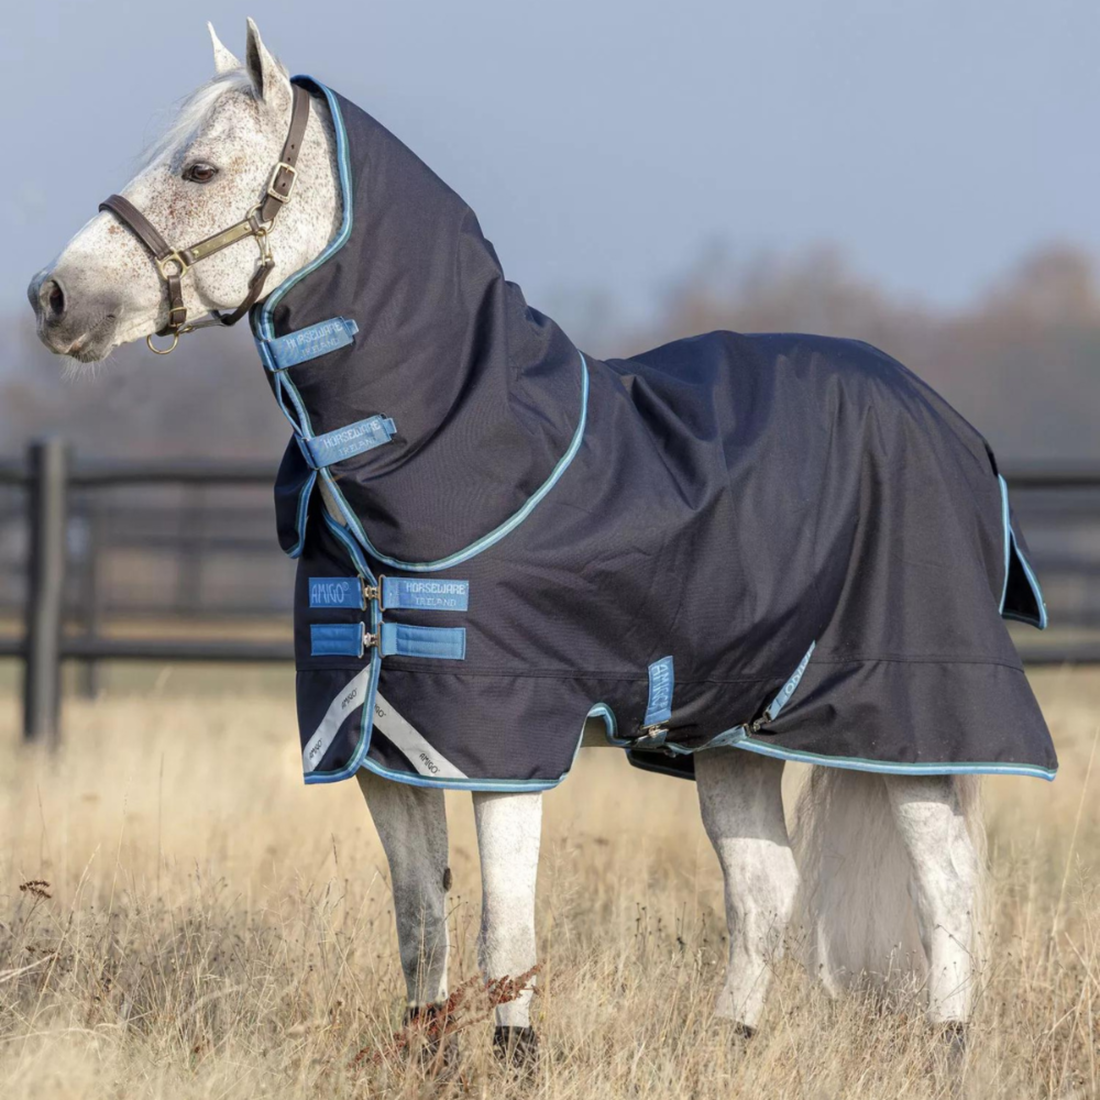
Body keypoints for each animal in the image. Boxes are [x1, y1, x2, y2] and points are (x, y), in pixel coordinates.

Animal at [28, 19, 1055, 1068]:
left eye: (199, 169)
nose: (53, 297)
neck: (466, 445)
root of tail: (948, 421)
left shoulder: (502, 743)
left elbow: (505, 934)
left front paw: (515, 1060)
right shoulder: (385, 745)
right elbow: (419, 920)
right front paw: (429, 1058)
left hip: (917, 716)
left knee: (945, 885)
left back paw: (949, 1048)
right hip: (736, 730)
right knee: (764, 888)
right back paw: (732, 1044)